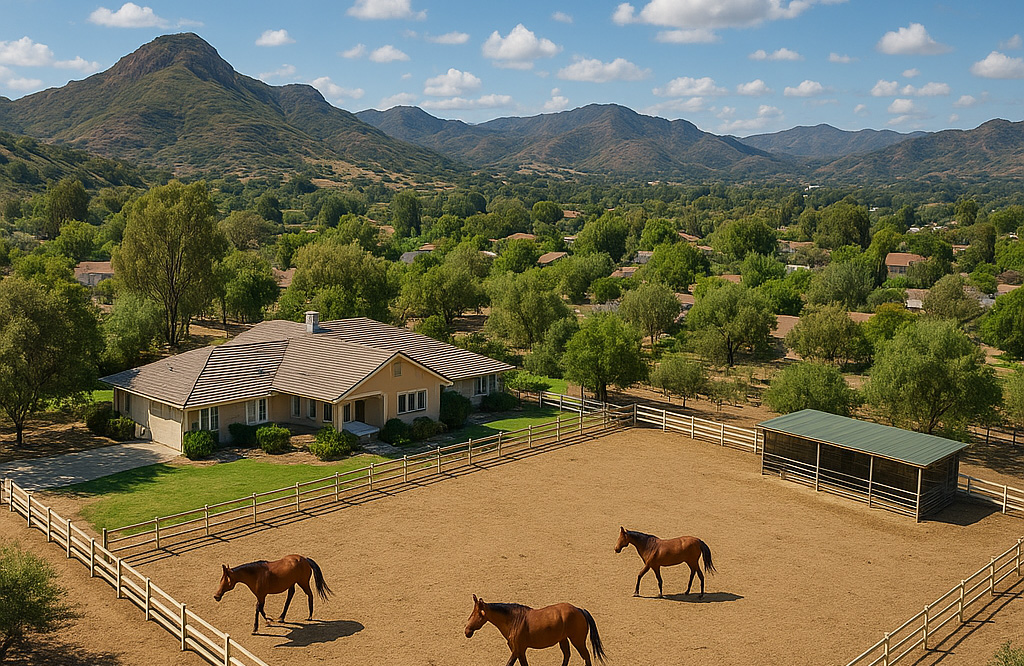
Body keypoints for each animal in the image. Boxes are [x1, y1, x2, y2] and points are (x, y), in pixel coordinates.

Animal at [465, 595, 606, 666]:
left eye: (478, 614)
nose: (467, 631)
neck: (514, 620)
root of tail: (579, 609)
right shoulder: (519, 651)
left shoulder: (517, 650)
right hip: (563, 640)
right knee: (567, 655)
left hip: (577, 641)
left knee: (586, 657)